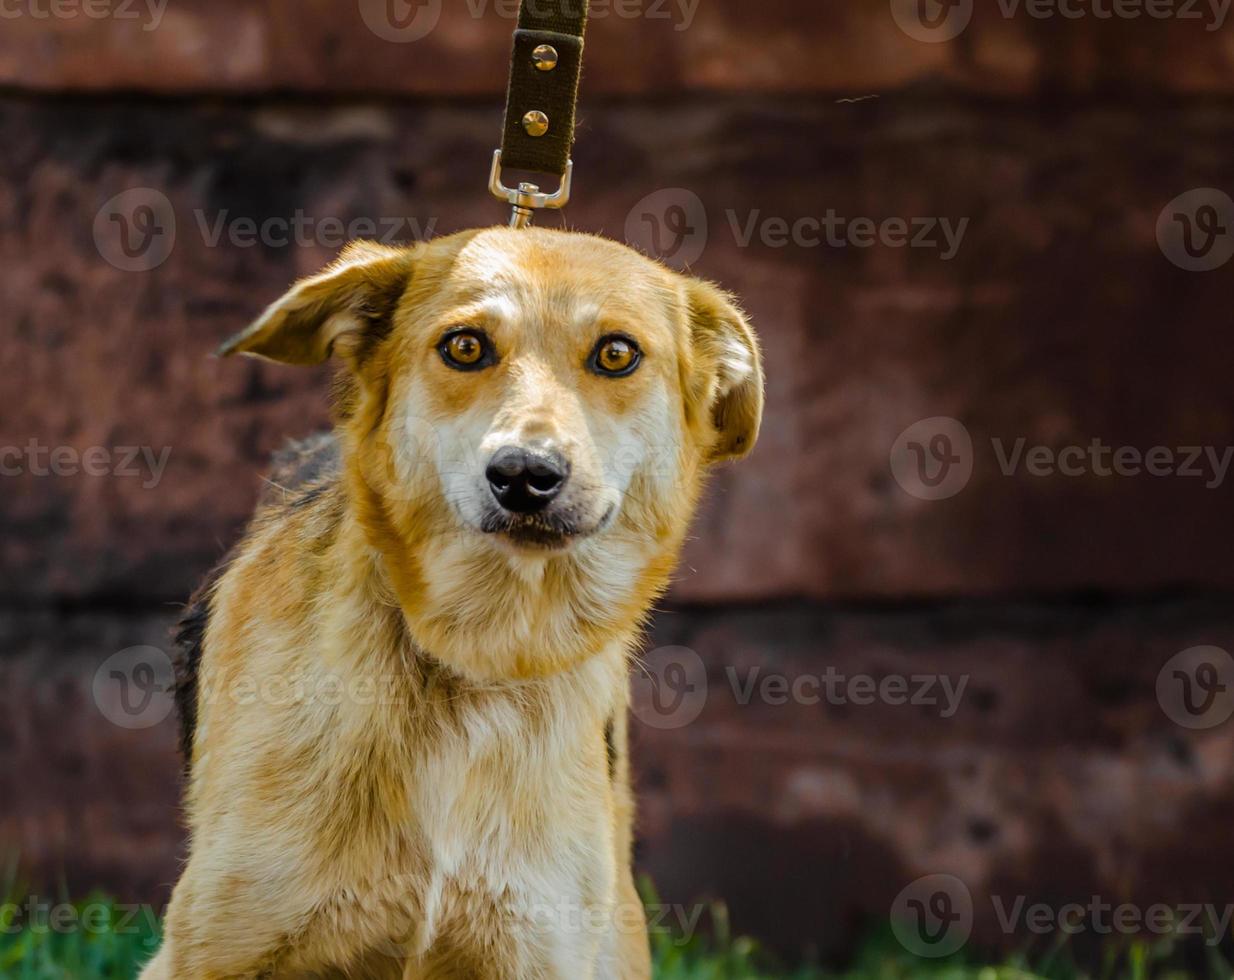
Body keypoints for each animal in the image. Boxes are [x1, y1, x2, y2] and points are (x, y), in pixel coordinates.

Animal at [141, 227, 760, 977]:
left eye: (617, 354)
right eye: (465, 347)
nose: (524, 475)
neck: (480, 657)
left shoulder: (534, 948)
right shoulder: (215, 949)